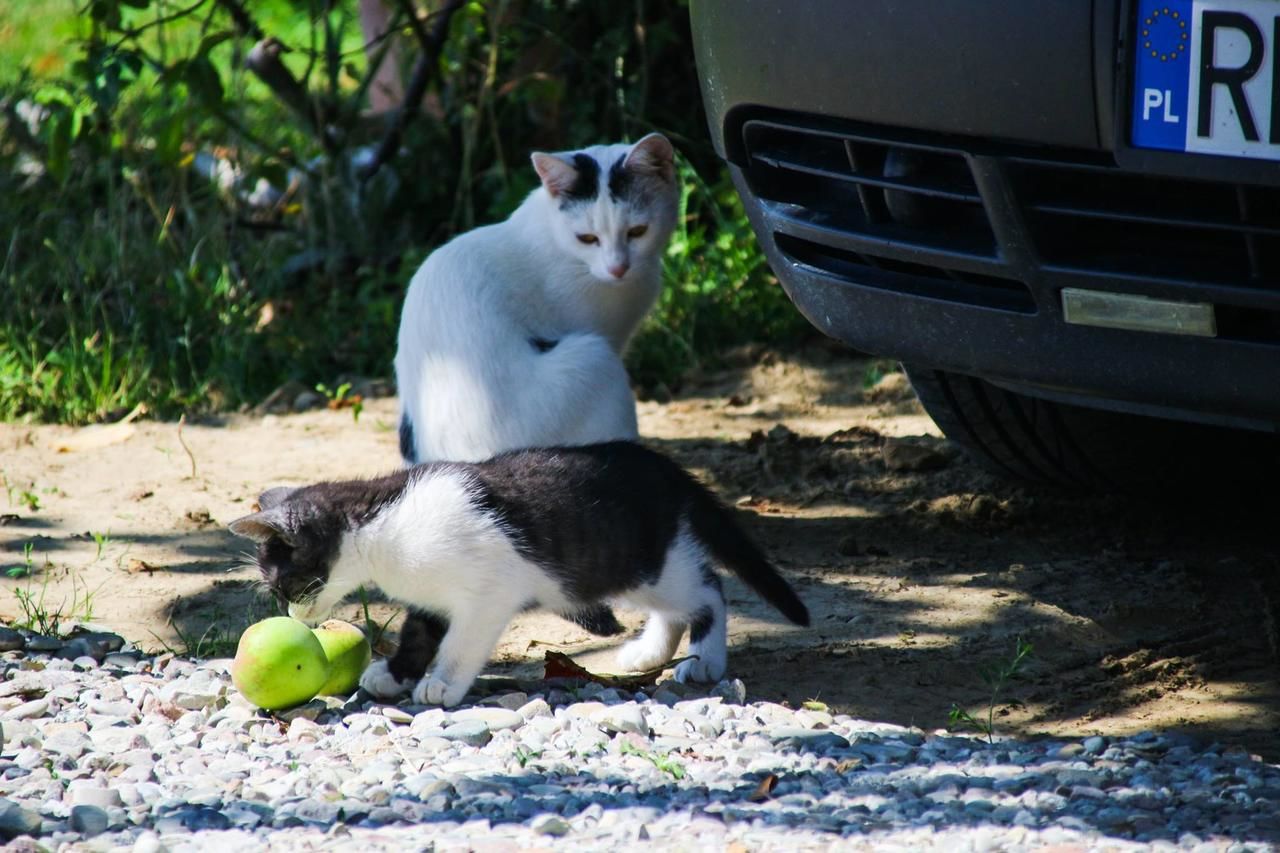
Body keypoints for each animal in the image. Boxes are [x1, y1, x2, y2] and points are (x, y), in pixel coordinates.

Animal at [227, 438, 808, 701]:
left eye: (285, 583)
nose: (293, 616)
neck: (380, 526)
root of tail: (662, 465)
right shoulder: (430, 595)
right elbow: (419, 632)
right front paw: (395, 674)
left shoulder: (489, 592)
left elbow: (461, 641)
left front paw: (442, 684)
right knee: (677, 603)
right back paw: (648, 652)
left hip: (640, 562)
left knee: (706, 589)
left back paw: (705, 661)